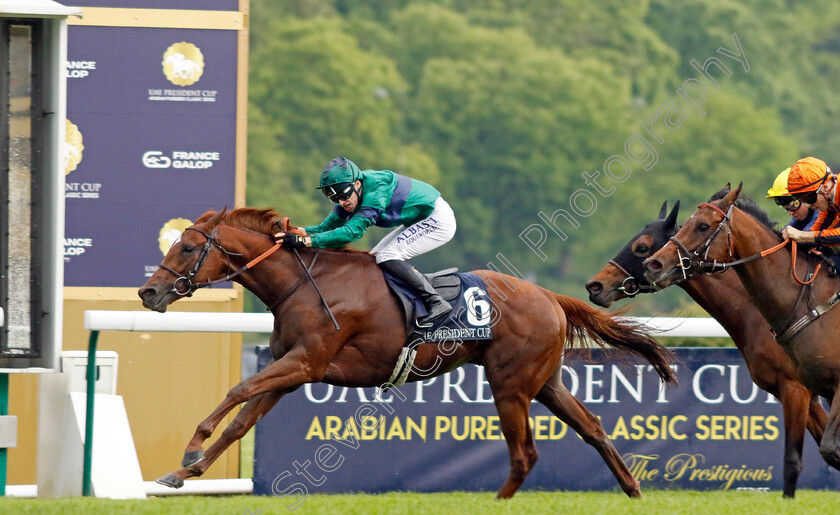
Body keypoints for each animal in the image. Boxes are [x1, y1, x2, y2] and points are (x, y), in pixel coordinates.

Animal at [138, 207, 676, 500]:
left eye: (188, 248)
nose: (148, 292)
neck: (303, 284)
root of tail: (548, 295)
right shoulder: (292, 372)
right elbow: (241, 421)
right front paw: (185, 472)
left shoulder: (306, 362)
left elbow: (238, 389)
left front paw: (191, 448)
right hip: (544, 382)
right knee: (592, 427)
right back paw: (632, 489)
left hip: (511, 386)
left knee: (525, 453)